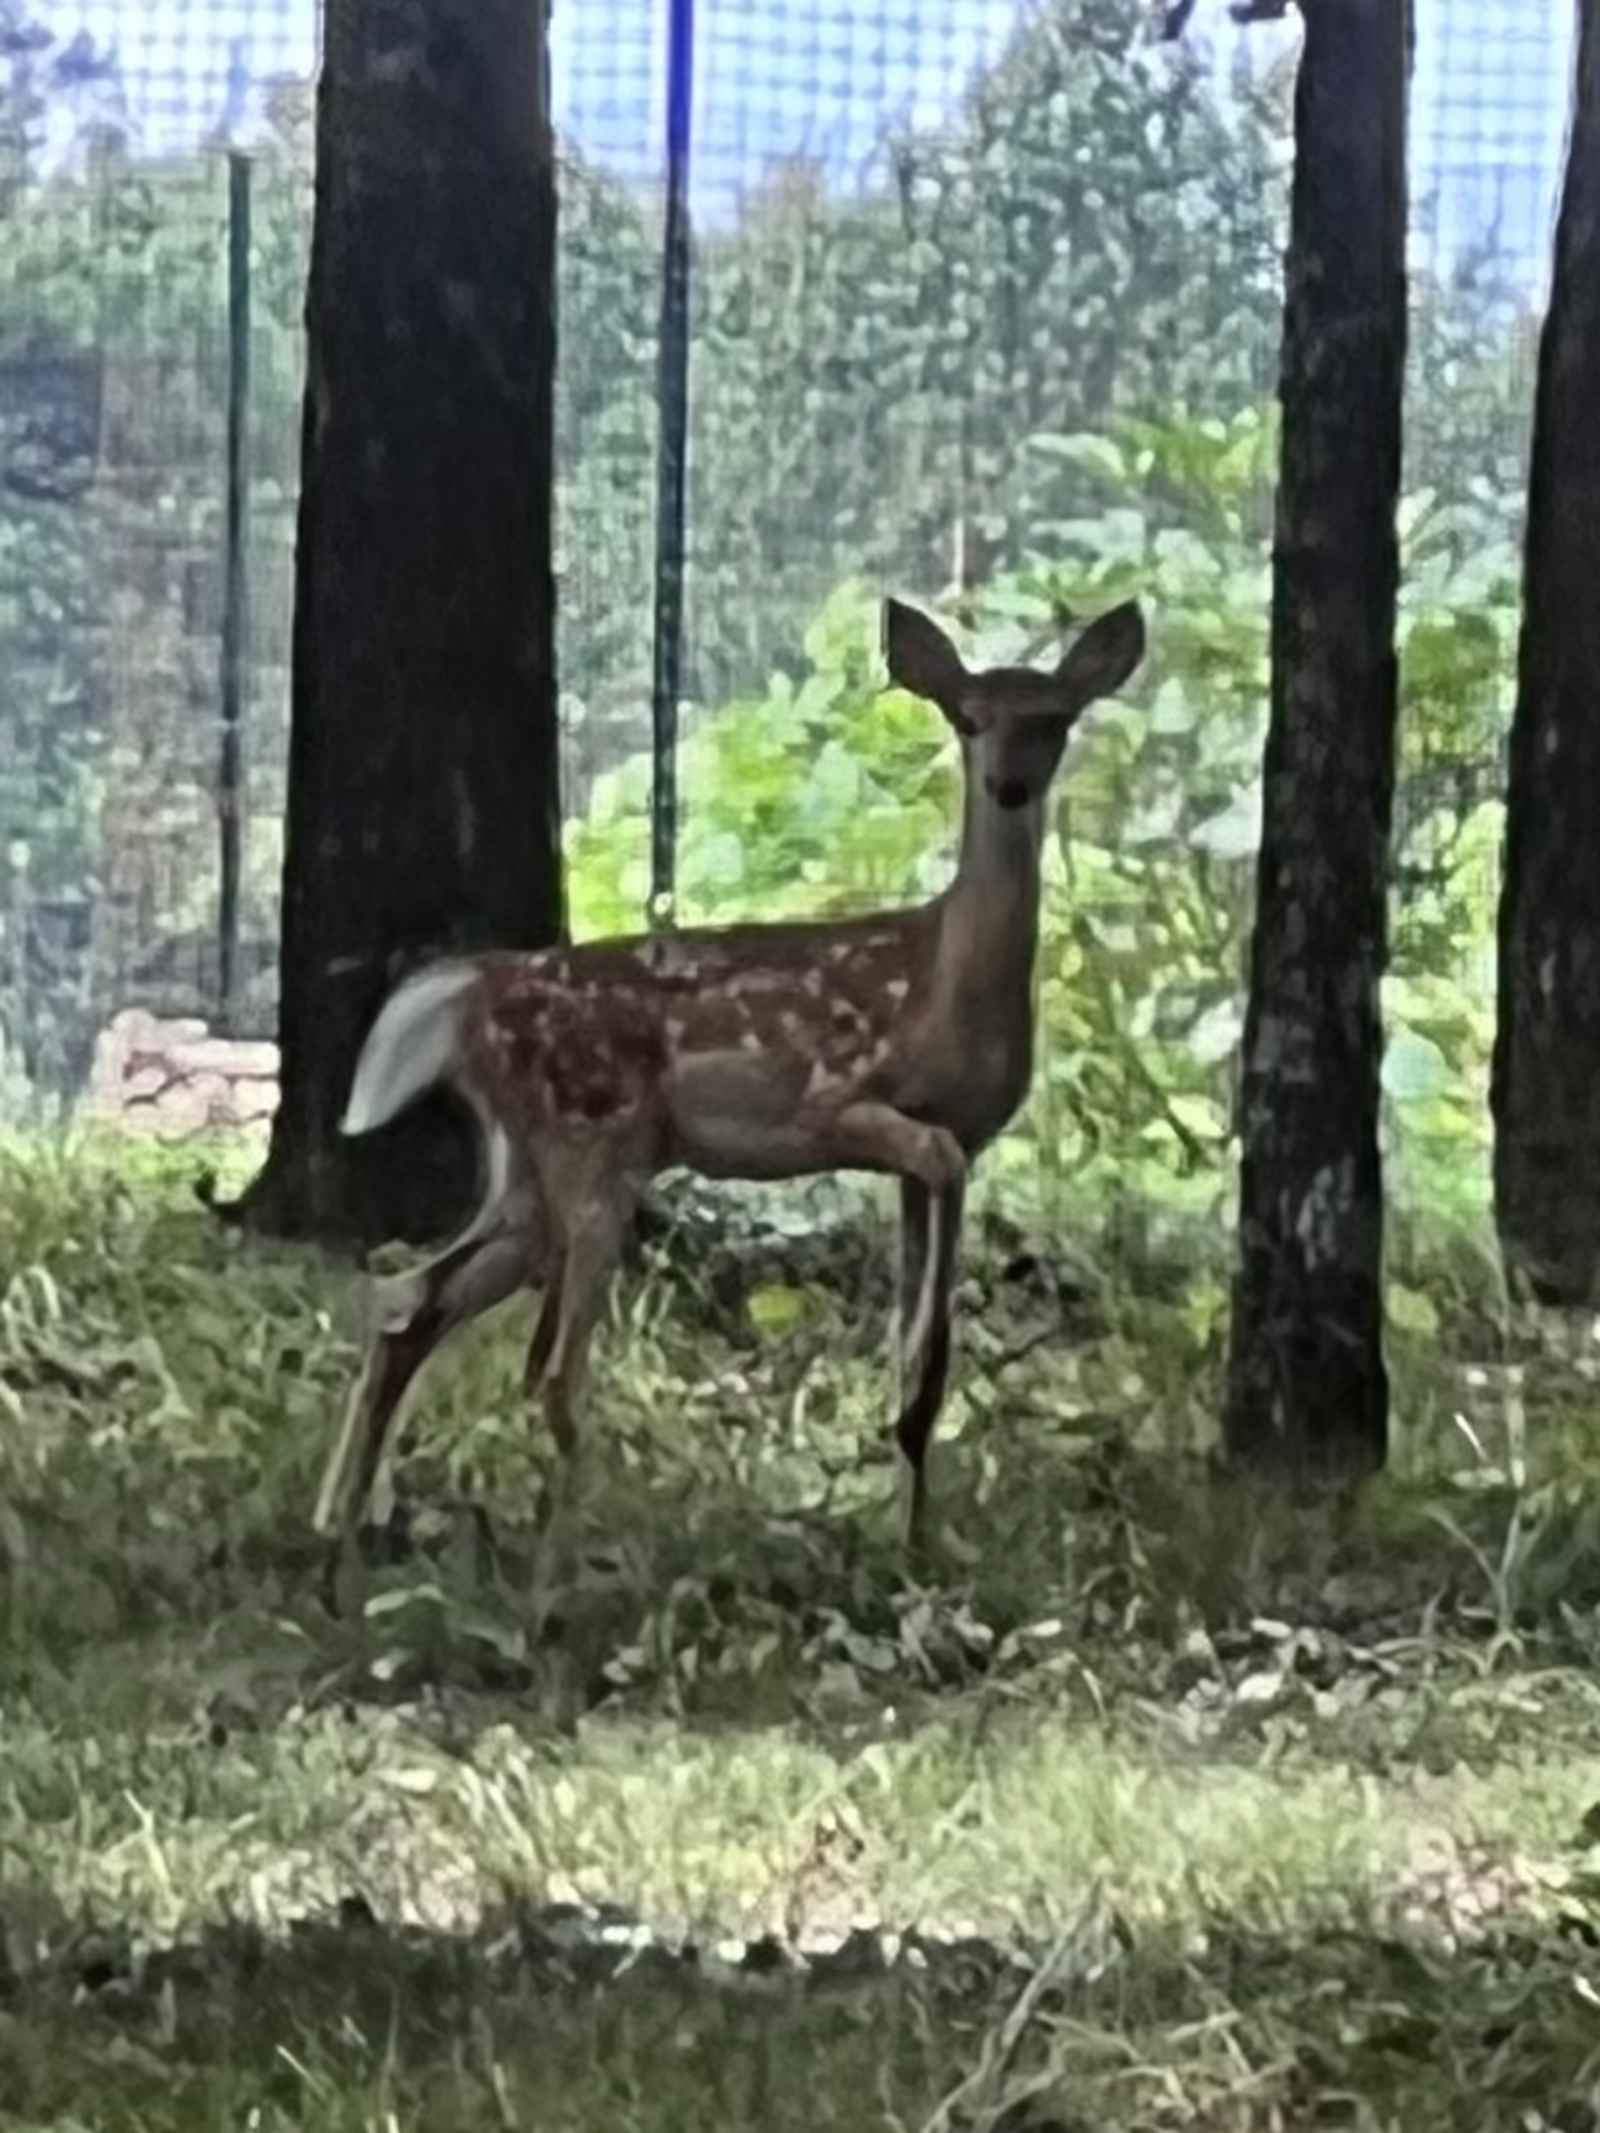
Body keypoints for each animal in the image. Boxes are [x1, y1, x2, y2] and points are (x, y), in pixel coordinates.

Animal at [313, 593, 1145, 1572]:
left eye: (1052, 720)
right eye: (968, 718)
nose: (1008, 784)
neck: (943, 987)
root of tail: (475, 989)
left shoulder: (956, 1144)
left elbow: (926, 1347)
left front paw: (915, 1534)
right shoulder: (836, 1096)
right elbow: (927, 1185)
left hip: (527, 1167)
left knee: (409, 1299)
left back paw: (344, 1521)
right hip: (591, 1141)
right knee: (547, 1365)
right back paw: (575, 1552)